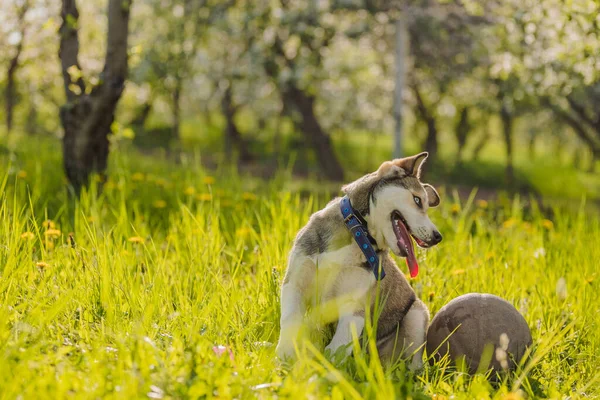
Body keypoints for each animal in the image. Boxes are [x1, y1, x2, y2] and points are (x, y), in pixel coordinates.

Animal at [276, 153, 440, 368]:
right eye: (417, 200)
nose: (438, 237)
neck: (358, 233)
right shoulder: (295, 283)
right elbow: (290, 320)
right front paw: (285, 356)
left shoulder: (354, 307)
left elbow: (336, 348)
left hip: (417, 314)